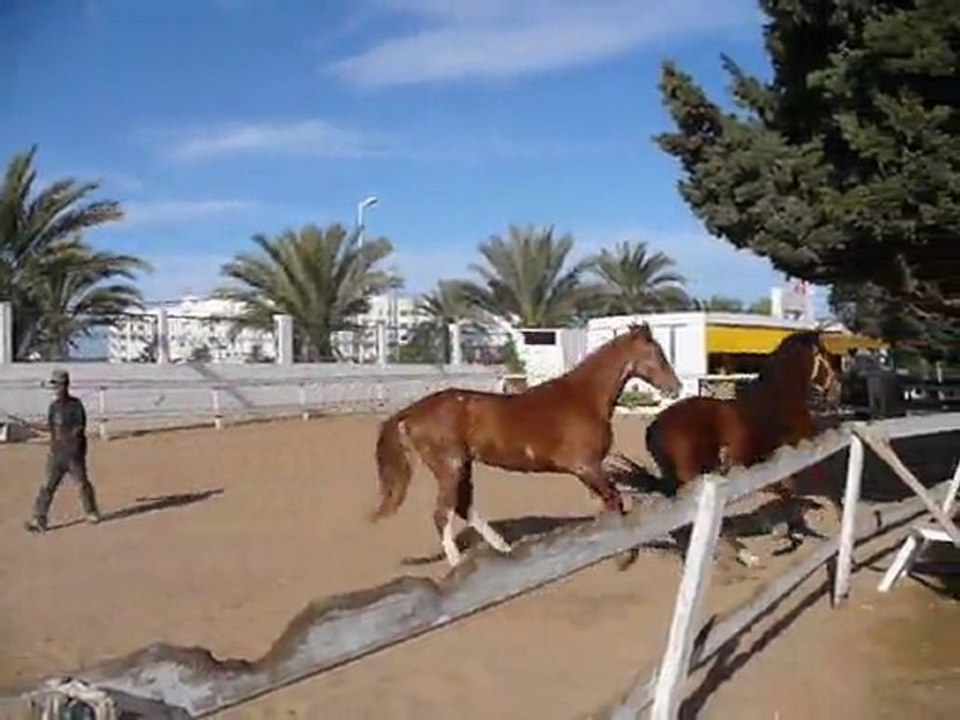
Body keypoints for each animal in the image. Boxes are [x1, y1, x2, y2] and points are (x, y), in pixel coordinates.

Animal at [369, 323, 683, 567]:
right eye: (658, 354)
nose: (676, 387)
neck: (584, 398)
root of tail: (412, 412)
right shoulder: (587, 467)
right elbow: (615, 502)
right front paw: (625, 555)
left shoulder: (588, 472)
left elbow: (609, 505)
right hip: (450, 467)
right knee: (442, 515)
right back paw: (458, 566)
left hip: (463, 466)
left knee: (463, 507)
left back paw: (505, 550)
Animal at [613, 330, 841, 569]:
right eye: (825, 357)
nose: (836, 390)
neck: (777, 401)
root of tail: (655, 427)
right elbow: (797, 489)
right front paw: (793, 532)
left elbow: (785, 489)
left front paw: (780, 528)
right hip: (694, 477)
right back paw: (744, 555)